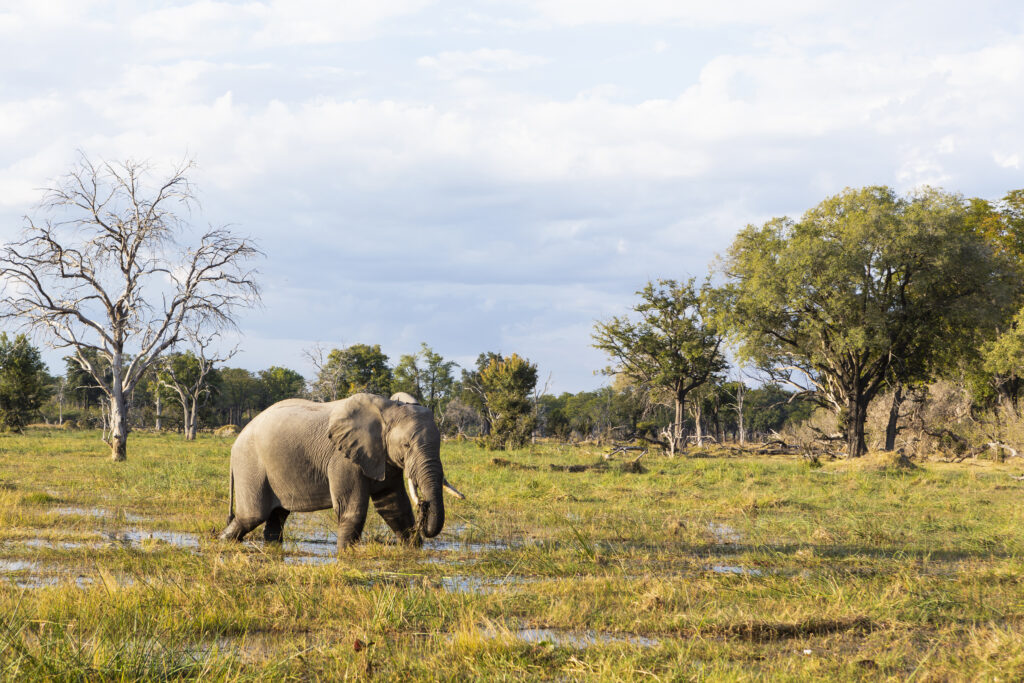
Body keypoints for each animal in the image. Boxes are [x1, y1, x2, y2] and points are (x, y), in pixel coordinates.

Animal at [218, 392, 462, 550]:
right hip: (250, 464)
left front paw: (415, 551)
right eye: (406, 445)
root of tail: (236, 440)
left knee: (276, 517)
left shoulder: (383, 457)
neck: (389, 408)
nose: (424, 505)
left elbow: (394, 507)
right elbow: (352, 510)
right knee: (251, 516)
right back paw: (221, 542)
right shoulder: (343, 459)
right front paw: (347, 555)